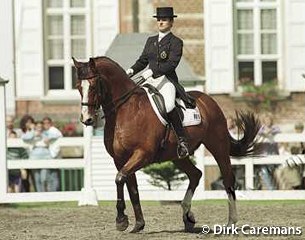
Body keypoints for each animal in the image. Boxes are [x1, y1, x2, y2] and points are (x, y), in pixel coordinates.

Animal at [73, 55, 258, 232]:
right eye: (78, 87)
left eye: (93, 86)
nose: (87, 119)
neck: (126, 110)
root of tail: (209, 100)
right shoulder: (120, 159)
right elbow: (131, 187)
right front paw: (138, 224)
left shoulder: (142, 154)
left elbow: (119, 179)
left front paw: (121, 220)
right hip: (178, 156)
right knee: (195, 174)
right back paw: (187, 217)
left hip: (218, 146)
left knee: (227, 179)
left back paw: (230, 221)